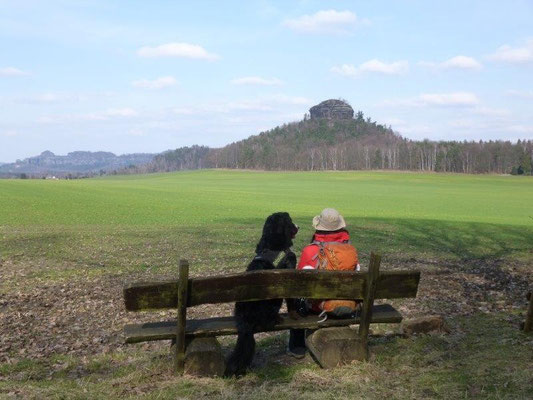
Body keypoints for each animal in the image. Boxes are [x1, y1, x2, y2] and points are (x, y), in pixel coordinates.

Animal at [224, 211, 300, 376]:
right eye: (290, 221)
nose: (298, 226)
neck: (270, 251)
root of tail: (244, 319)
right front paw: (294, 314)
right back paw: (276, 318)